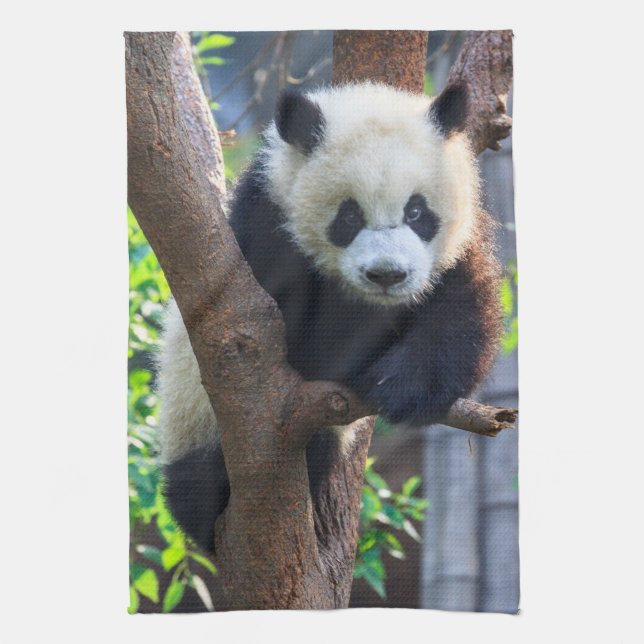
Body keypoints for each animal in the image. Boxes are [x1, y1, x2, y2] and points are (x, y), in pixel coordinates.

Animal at [157, 81, 503, 554]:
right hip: (194, 421)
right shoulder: (265, 230)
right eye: (349, 215)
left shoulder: (459, 245)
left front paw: (398, 387)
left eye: (416, 212)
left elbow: (461, 314)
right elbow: (293, 343)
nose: (387, 274)